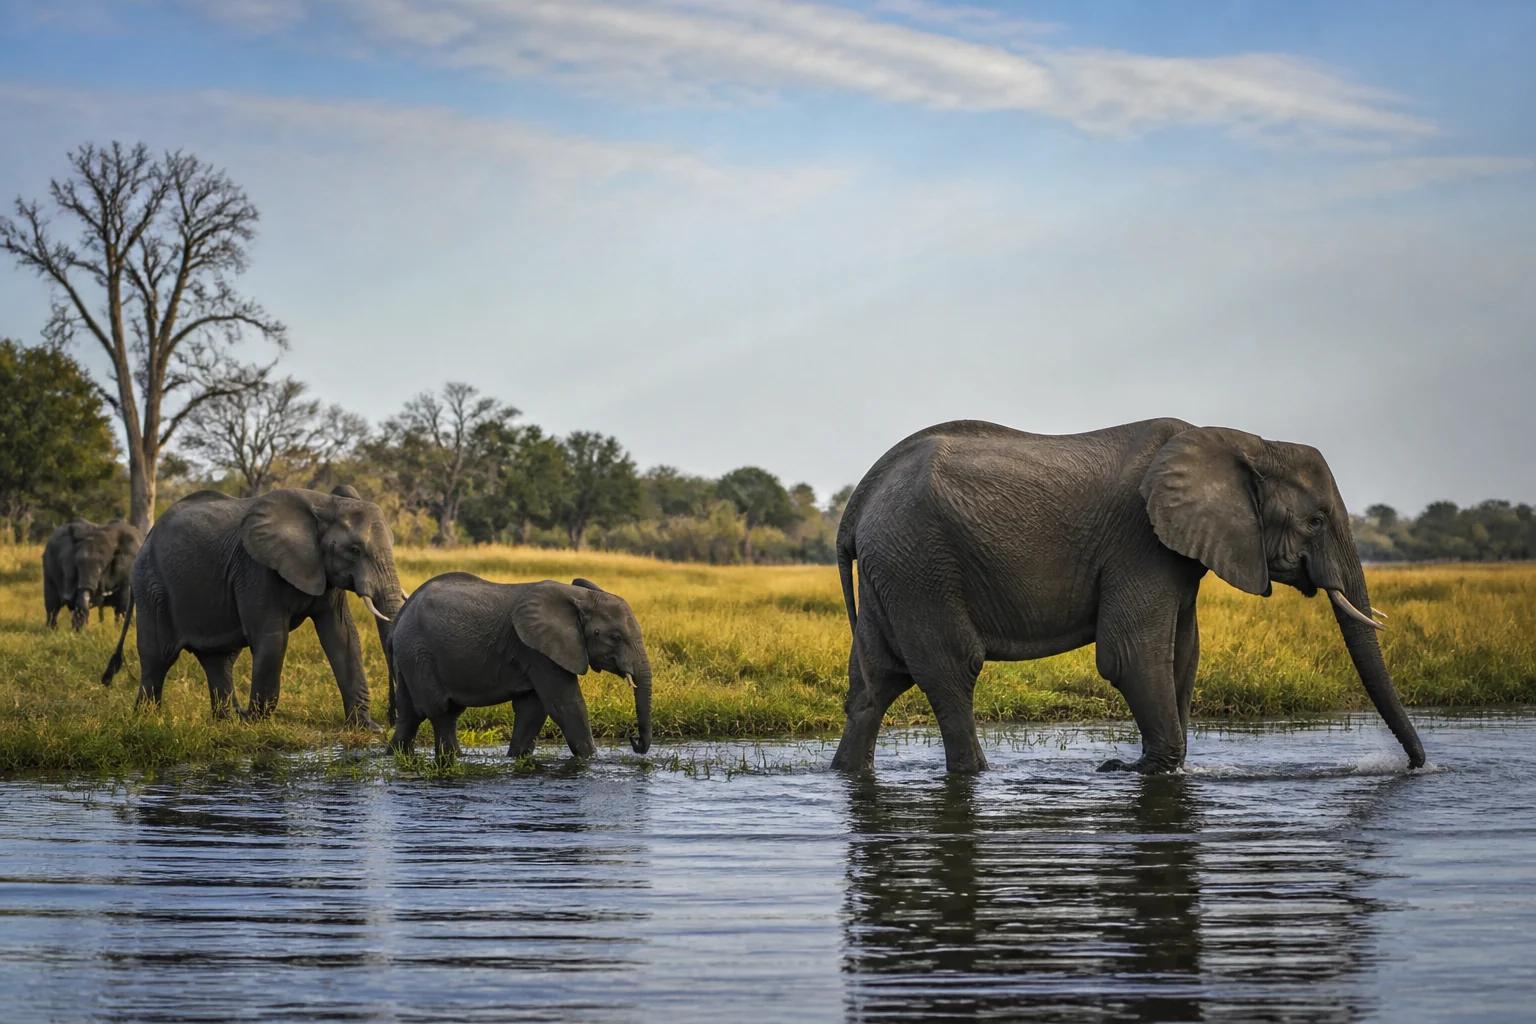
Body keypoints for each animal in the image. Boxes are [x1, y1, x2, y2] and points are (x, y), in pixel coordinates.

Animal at [100, 485, 406, 727]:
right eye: (354, 550)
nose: (392, 717)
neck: (324, 503)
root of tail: (147, 536)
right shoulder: (256, 569)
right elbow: (273, 638)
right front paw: (257, 722)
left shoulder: (324, 572)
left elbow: (343, 636)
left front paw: (366, 727)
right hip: (151, 583)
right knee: (158, 655)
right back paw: (148, 719)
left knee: (218, 660)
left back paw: (227, 720)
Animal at [386, 574, 653, 763]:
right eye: (615, 638)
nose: (634, 742)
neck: (581, 597)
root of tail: (400, 616)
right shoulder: (537, 649)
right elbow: (565, 705)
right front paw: (592, 761)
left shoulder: (538, 651)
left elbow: (533, 709)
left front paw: (517, 759)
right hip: (419, 653)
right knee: (442, 712)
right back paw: (452, 758)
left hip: (409, 655)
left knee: (409, 715)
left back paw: (396, 756)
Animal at [831, 418, 1425, 775]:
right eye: (1316, 520)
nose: (1418, 766)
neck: (1246, 443)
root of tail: (857, 503)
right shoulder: (1139, 543)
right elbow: (1131, 657)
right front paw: (1138, 771)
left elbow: (1183, 658)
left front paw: (1162, 769)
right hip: (920, 563)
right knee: (953, 669)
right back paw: (976, 772)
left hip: (895, 569)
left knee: (875, 682)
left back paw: (847, 772)